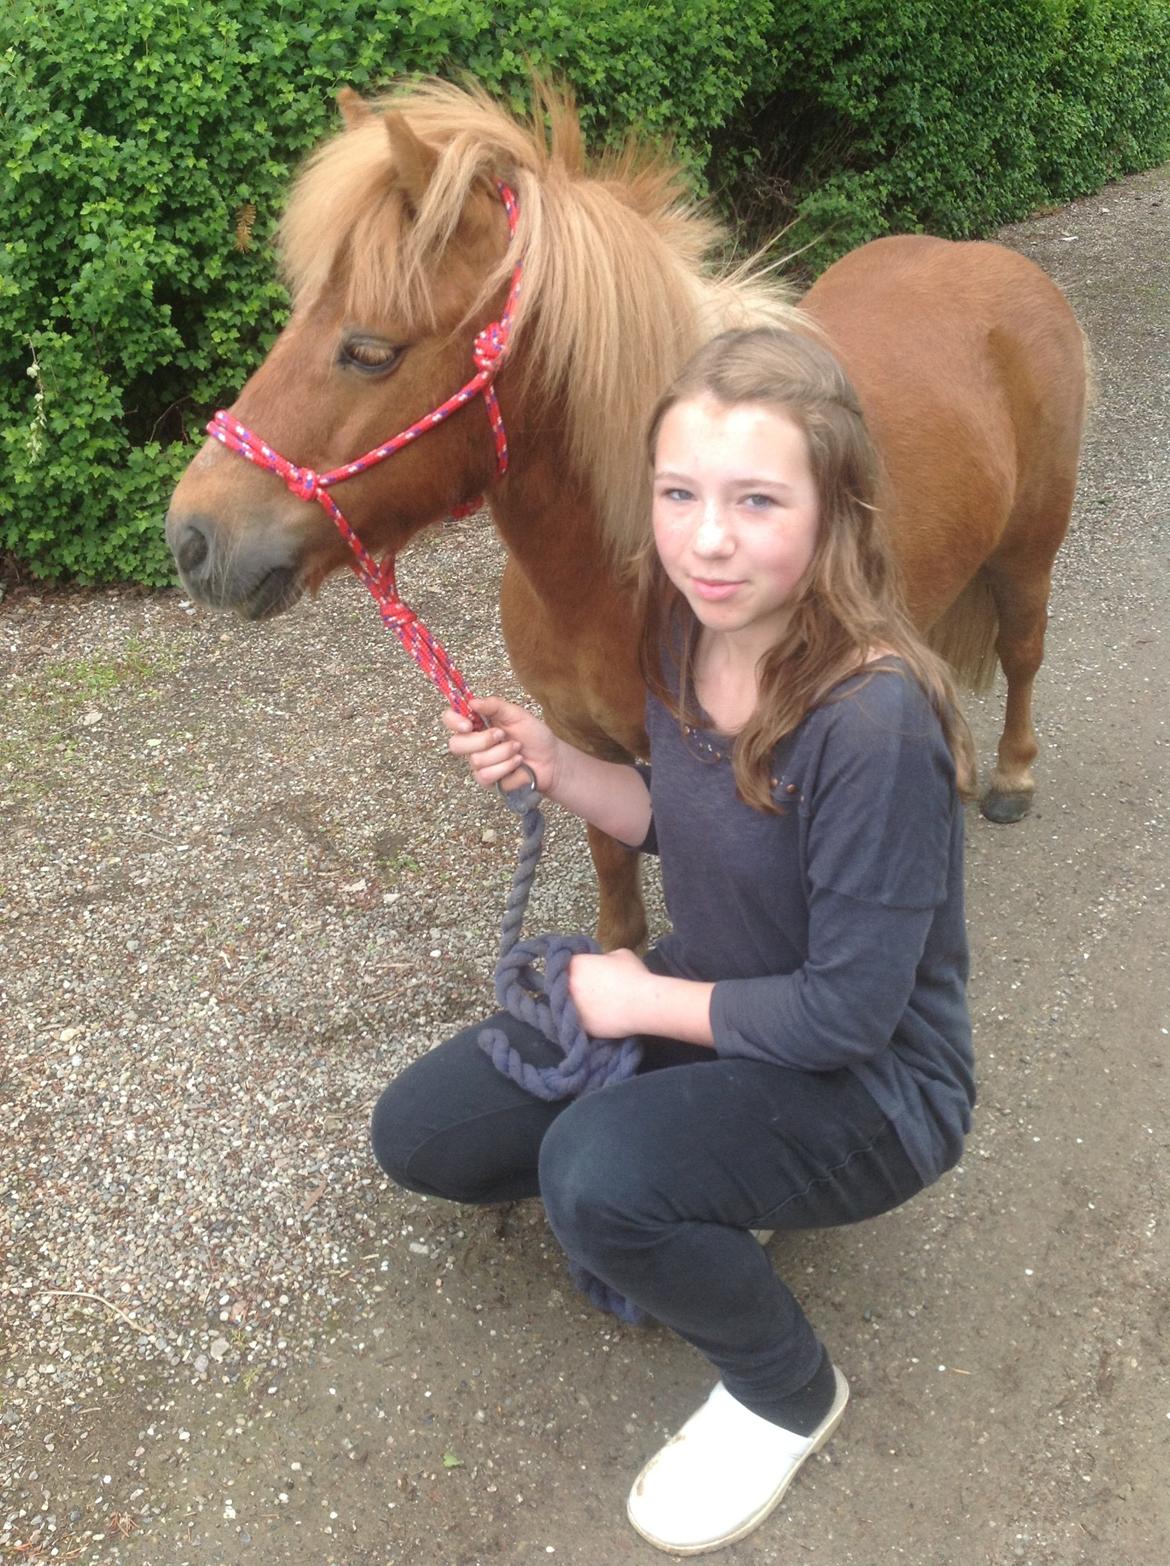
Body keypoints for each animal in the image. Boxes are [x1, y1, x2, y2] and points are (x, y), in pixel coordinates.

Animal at [164, 79, 1090, 952]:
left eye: (368, 350)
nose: (191, 536)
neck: (613, 579)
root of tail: (992, 264)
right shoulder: (578, 736)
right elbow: (613, 859)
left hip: (1027, 553)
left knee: (1022, 651)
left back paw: (1011, 778)